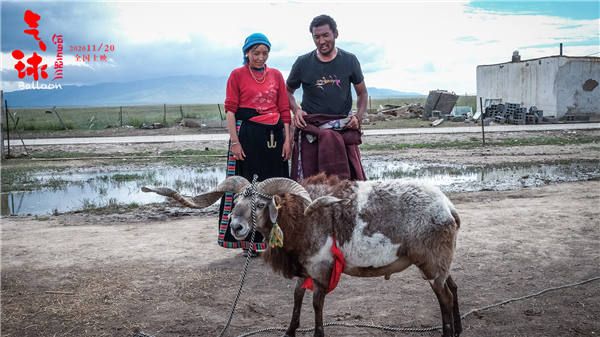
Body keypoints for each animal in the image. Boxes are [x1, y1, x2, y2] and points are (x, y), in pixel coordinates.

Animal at [143, 173, 462, 336]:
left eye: (261, 204)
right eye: (235, 202)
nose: (235, 227)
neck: (301, 217)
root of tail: (448, 207)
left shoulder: (322, 268)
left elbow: (317, 304)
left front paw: (318, 333)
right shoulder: (306, 268)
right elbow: (297, 297)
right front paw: (289, 331)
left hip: (432, 261)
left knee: (444, 296)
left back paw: (448, 332)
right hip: (441, 261)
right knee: (453, 287)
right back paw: (458, 328)